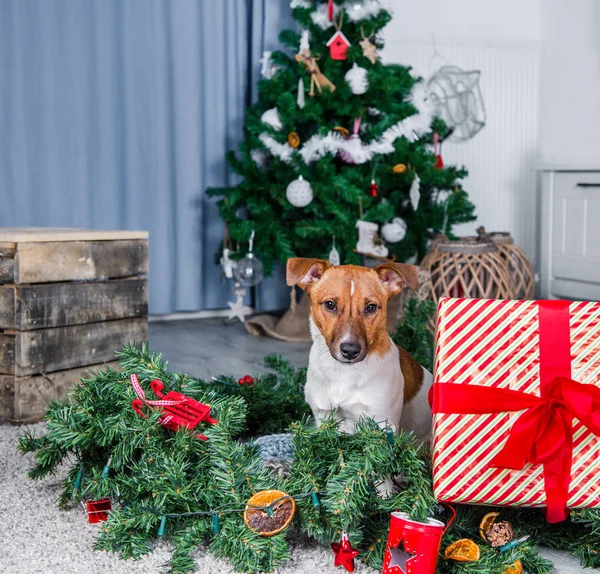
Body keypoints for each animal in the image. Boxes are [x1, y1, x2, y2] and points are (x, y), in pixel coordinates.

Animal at [288, 258, 434, 444]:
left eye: (371, 307)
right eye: (330, 305)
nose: (350, 350)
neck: (343, 373)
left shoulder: (383, 423)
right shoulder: (324, 416)